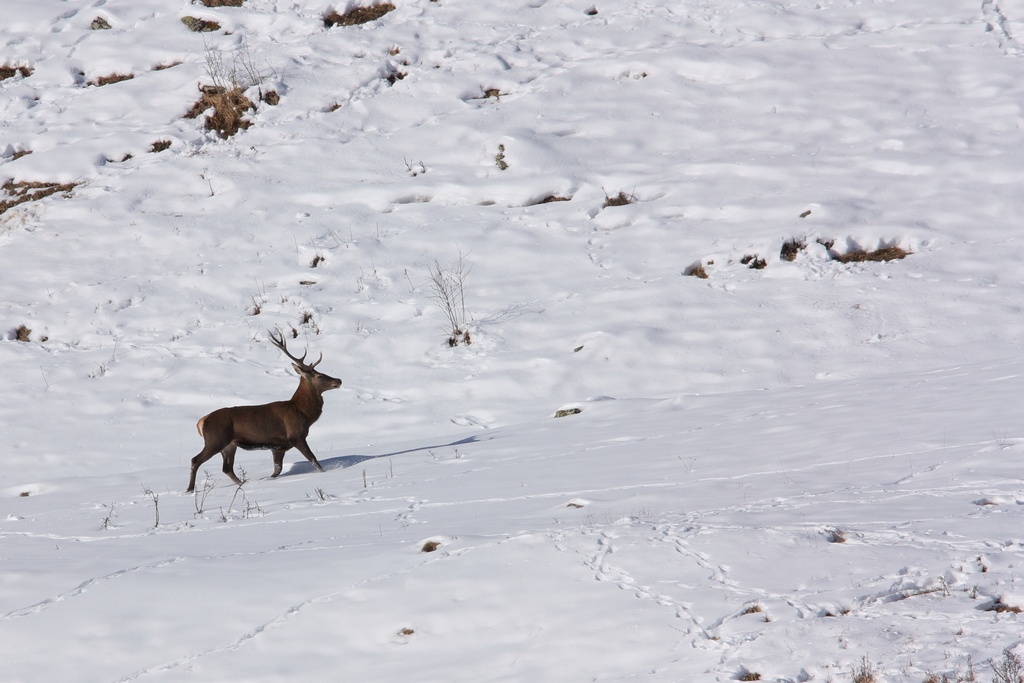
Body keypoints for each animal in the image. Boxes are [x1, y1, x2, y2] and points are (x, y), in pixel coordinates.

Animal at [186, 329, 342, 491]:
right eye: (320, 375)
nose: (339, 380)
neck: (304, 414)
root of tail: (201, 422)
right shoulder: (296, 436)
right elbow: (313, 460)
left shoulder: (278, 447)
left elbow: (277, 470)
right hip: (215, 439)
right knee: (195, 460)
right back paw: (190, 489)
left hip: (229, 445)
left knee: (227, 468)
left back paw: (242, 483)